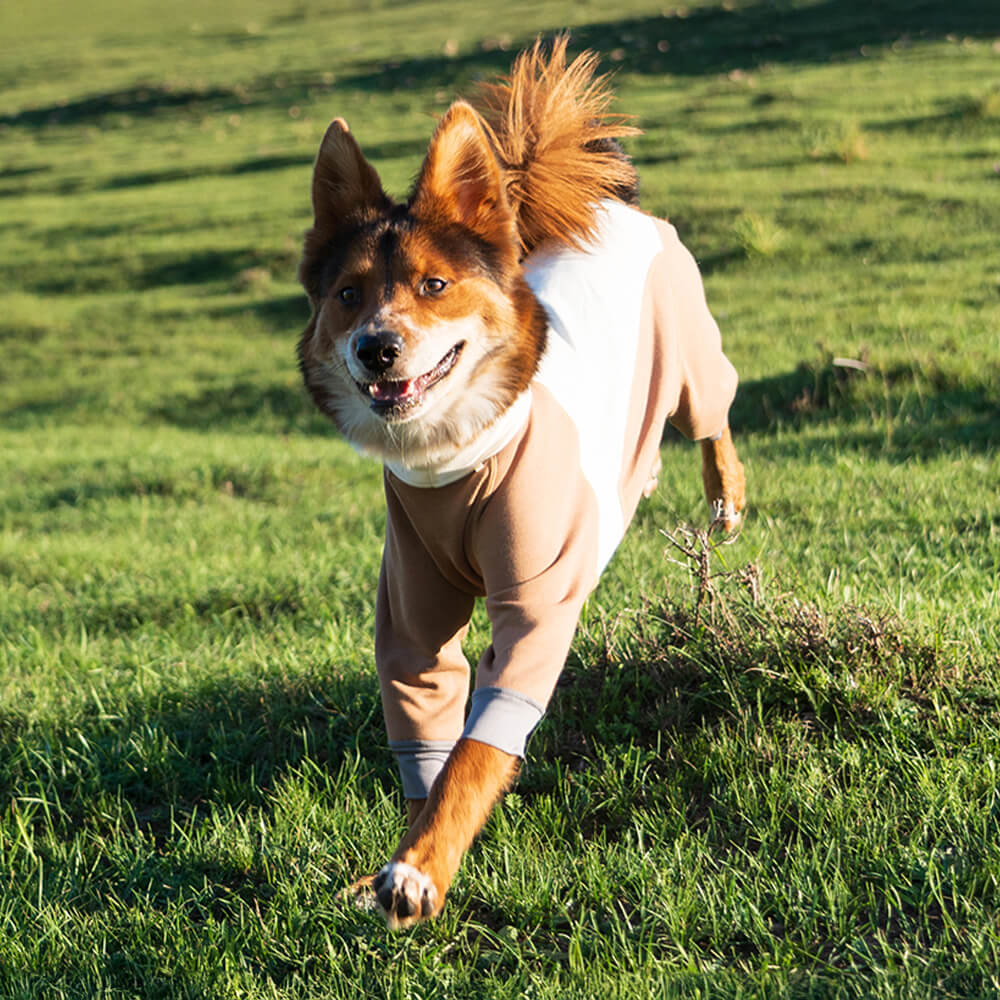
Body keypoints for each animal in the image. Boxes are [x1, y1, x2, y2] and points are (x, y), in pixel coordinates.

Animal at [294, 39, 744, 928]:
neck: (456, 462)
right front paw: (402, 859)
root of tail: (608, 207)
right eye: (348, 294)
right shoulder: (411, 620)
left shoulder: (536, 607)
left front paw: (421, 870)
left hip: (689, 361)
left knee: (717, 408)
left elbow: (476, 751)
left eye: (433, 286)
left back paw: (725, 496)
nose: (376, 348)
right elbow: (429, 737)